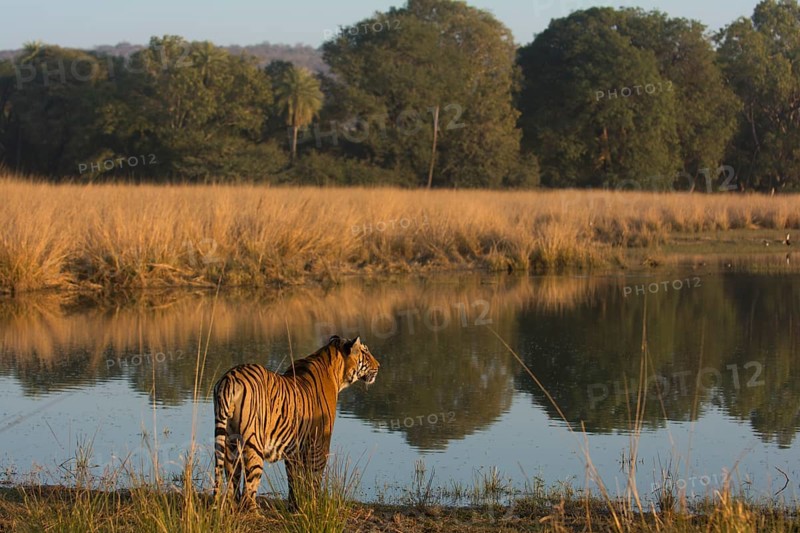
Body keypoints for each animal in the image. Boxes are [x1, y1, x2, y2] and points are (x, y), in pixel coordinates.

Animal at [213, 335, 380, 509]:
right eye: (365, 352)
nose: (379, 365)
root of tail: (229, 379)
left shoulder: (295, 448)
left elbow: (294, 480)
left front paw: (295, 506)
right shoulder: (319, 445)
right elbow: (314, 479)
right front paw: (313, 505)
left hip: (229, 443)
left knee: (231, 484)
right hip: (253, 443)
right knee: (248, 489)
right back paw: (254, 511)